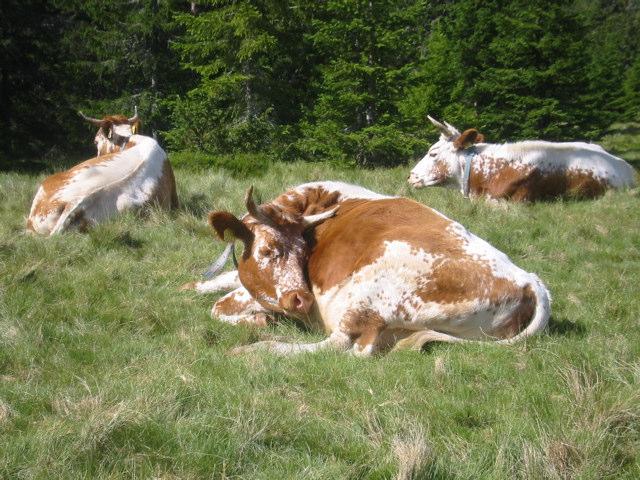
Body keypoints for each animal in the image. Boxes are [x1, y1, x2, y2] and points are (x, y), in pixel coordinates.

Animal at [188, 182, 548, 354]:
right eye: (267, 250)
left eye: (304, 254)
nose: (302, 301)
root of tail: (530, 281)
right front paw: (193, 286)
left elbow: (219, 306)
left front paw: (258, 320)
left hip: (369, 294)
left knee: (342, 346)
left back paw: (260, 349)